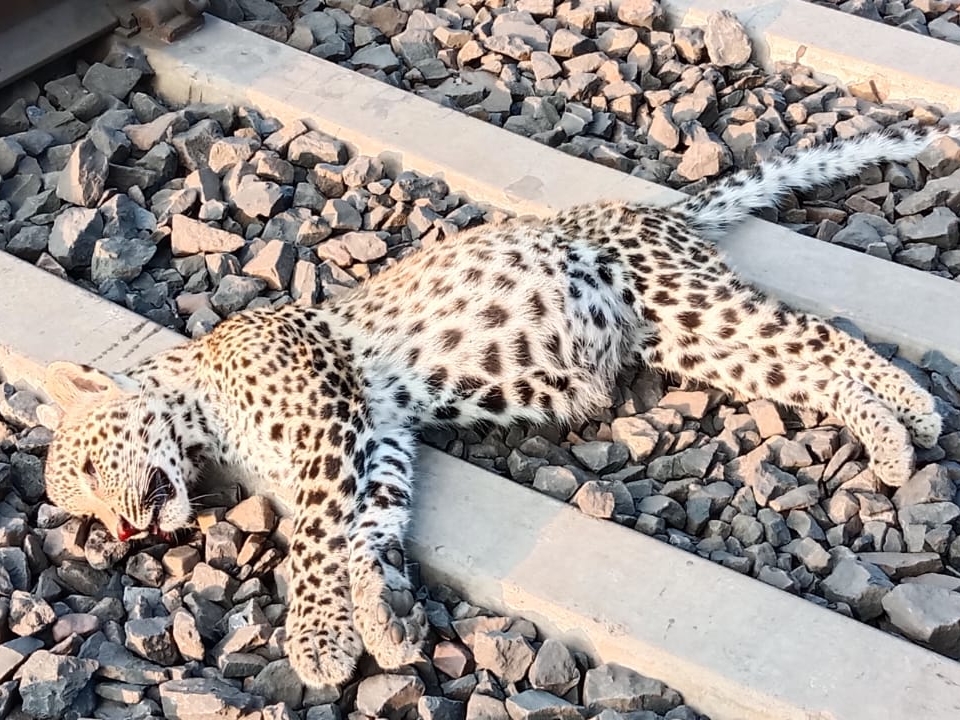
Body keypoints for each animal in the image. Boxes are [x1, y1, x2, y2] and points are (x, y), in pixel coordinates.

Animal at [42, 125, 954, 689]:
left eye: (86, 469)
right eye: (82, 510)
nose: (122, 534)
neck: (200, 404)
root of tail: (655, 207)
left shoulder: (328, 426)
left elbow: (315, 544)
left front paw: (321, 640)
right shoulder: (380, 441)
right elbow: (371, 530)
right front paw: (384, 621)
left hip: (688, 298)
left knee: (825, 339)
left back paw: (914, 420)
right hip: (690, 338)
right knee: (810, 368)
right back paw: (895, 436)